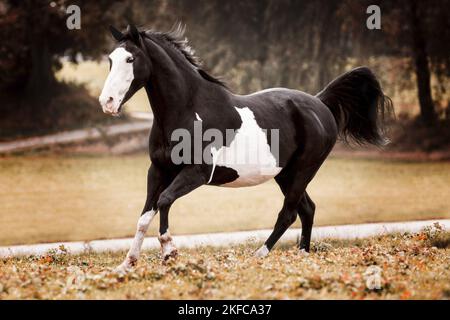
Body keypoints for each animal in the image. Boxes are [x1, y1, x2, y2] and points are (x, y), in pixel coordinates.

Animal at [98, 25, 390, 272]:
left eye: (130, 59)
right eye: (111, 59)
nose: (107, 102)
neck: (187, 110)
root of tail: (320, 103)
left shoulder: (197, 173)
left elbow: (164, 200)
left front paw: (169, 252)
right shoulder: (158, 170)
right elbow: (145, 215)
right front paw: (127, 263)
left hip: (304, 170)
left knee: (288, 213)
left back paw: (259, 255)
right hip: (286, 174)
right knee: (308, 209)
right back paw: (302, 256)